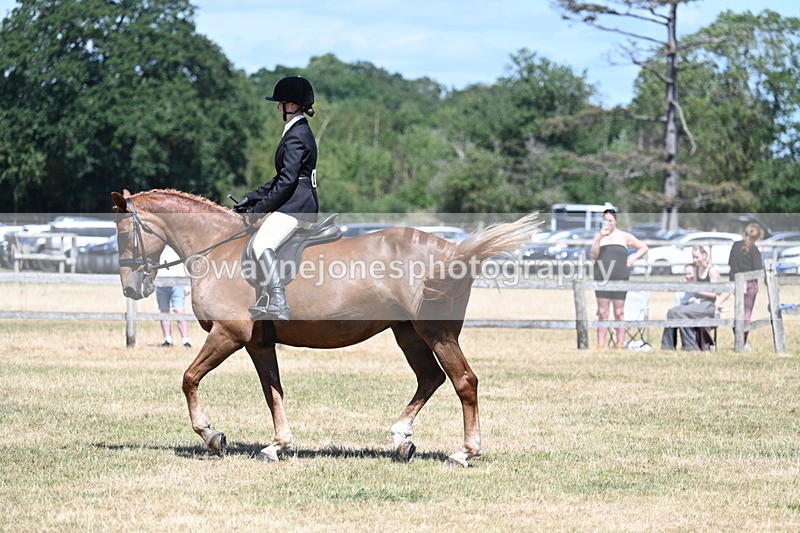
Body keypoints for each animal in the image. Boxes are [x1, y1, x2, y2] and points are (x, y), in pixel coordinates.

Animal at [111, 189, 538, 467]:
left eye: (123, 233)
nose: (132, 289)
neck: (218, 249)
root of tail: (453, 250)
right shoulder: (258, 344)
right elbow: (273, 392)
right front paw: (278, 446)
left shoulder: (228, 334)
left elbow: (189, 378)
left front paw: (212, 436)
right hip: (407, 333)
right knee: (430, 378)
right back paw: (401, 439)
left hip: (436, 333)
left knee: (464, 381)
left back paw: (463, 453)